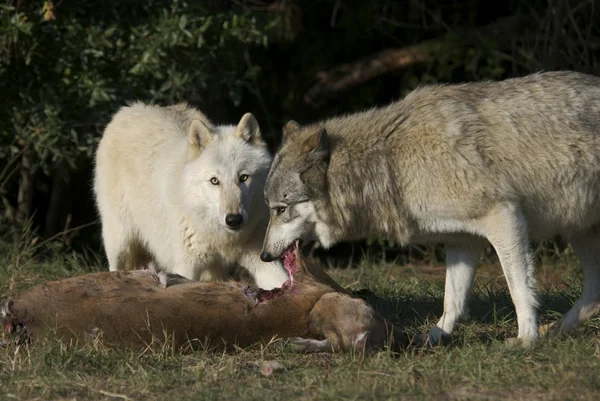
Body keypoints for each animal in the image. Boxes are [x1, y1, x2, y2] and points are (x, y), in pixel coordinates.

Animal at [93, 99, 288, 288]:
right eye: (214, 181)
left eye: (244, 177)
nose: (234, 220)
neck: (222, 238)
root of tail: (126, 110)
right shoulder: (186, 266)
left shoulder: (262, 260)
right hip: (120, 244)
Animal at [260, 69, 600, 344]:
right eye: (270, 208)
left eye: (280, 209)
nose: (263, 255)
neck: (391, 162)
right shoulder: (463, 240)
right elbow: (452, 301)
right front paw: (435, 338)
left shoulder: (504, 218)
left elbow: (519, 289)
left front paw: (527, 339)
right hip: (579, 234)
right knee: (594, 295)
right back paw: (556, 332)